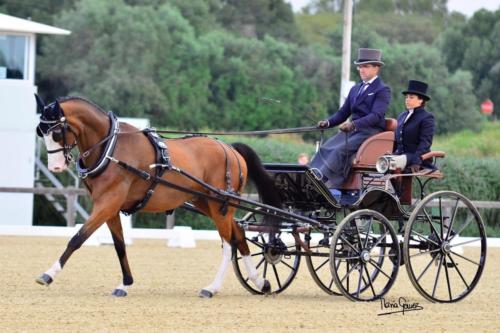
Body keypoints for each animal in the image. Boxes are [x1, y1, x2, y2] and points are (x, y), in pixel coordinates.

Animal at [33, 94, 280, 296]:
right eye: (40, 132)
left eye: (57, 132)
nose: (55, 167)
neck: (111, 148)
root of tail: (231, 150)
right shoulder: (110, 207)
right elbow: (119, 245)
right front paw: (125, 284)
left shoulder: (107, 203)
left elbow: (78, 238)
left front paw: (48, 274)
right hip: (207, 203)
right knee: (239, 233)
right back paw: (260, 283)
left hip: (221, 204)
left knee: (228, 244)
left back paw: (212, 288)